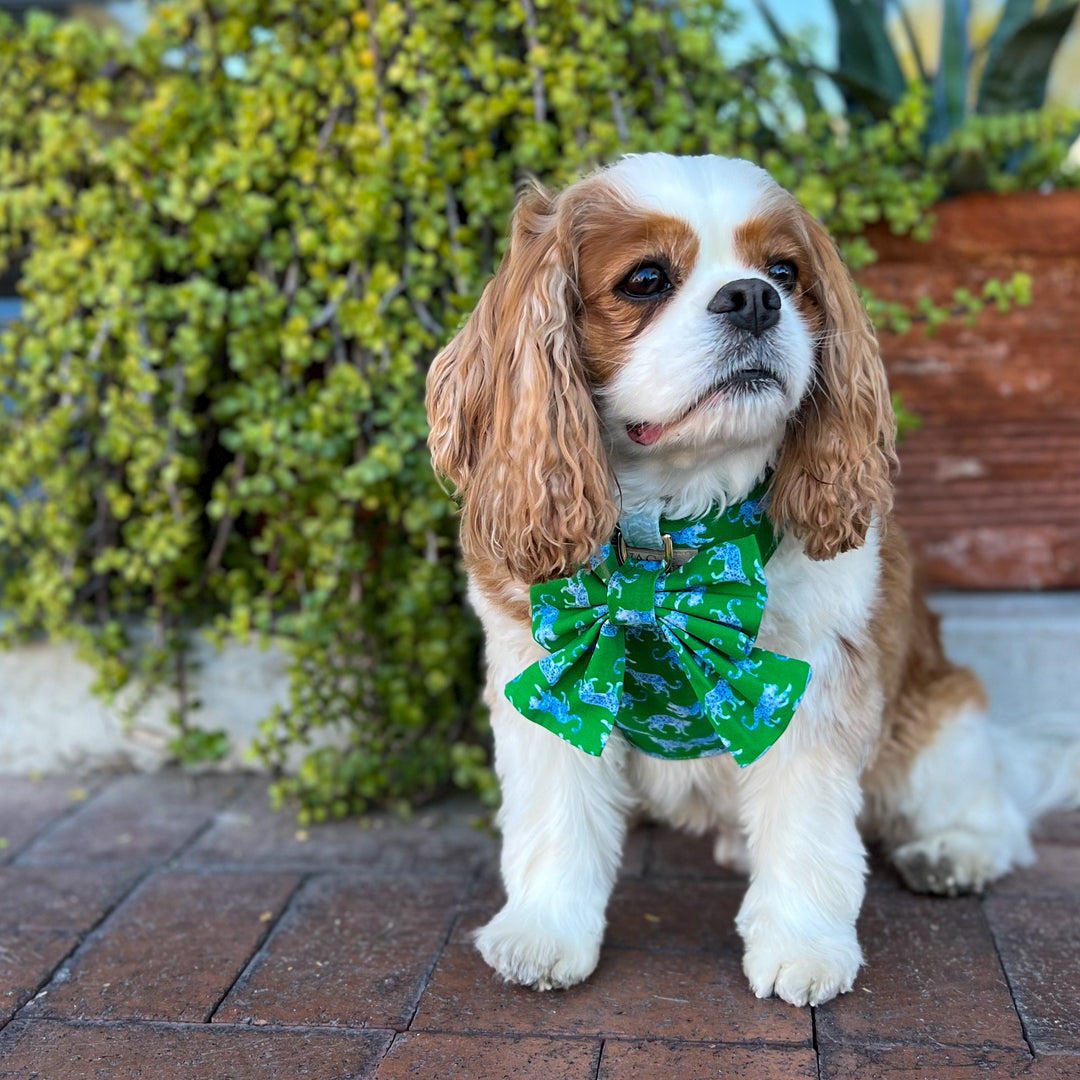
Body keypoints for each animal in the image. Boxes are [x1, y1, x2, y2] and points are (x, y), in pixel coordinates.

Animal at [425, 156, 1075, 1006]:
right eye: (644, 279)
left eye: (785, 273)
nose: (754, 297)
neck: (670, 548)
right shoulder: (550, 678)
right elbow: (555, 819)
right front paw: (544, 932)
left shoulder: (808, 682)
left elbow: (807, 828)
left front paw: (802, 946)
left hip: (933, 723)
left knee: (990, 808)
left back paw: (954, 851)